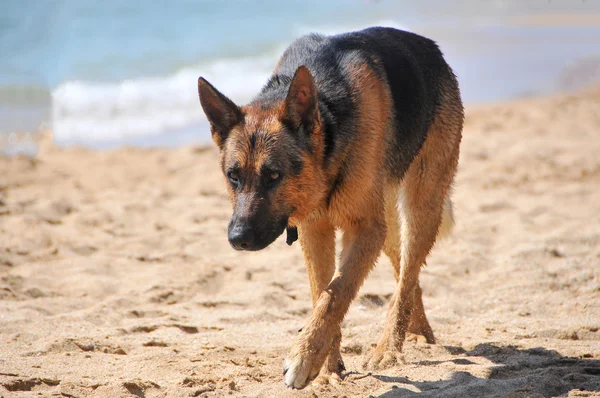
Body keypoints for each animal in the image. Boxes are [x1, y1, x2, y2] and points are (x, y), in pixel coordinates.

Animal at [197, 27, 464, 388]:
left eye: (274, 175)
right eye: (233, 176)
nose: (238, 238)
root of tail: (432, 49)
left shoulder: (364, 229)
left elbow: (336, 294)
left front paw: (305, 357)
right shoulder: (316, 231)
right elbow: (321, 293)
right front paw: (326, 366)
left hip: (420, 207)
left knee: (408, 275)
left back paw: (389, 347)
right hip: (388, 226)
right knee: (405, 278)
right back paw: (419, 332)